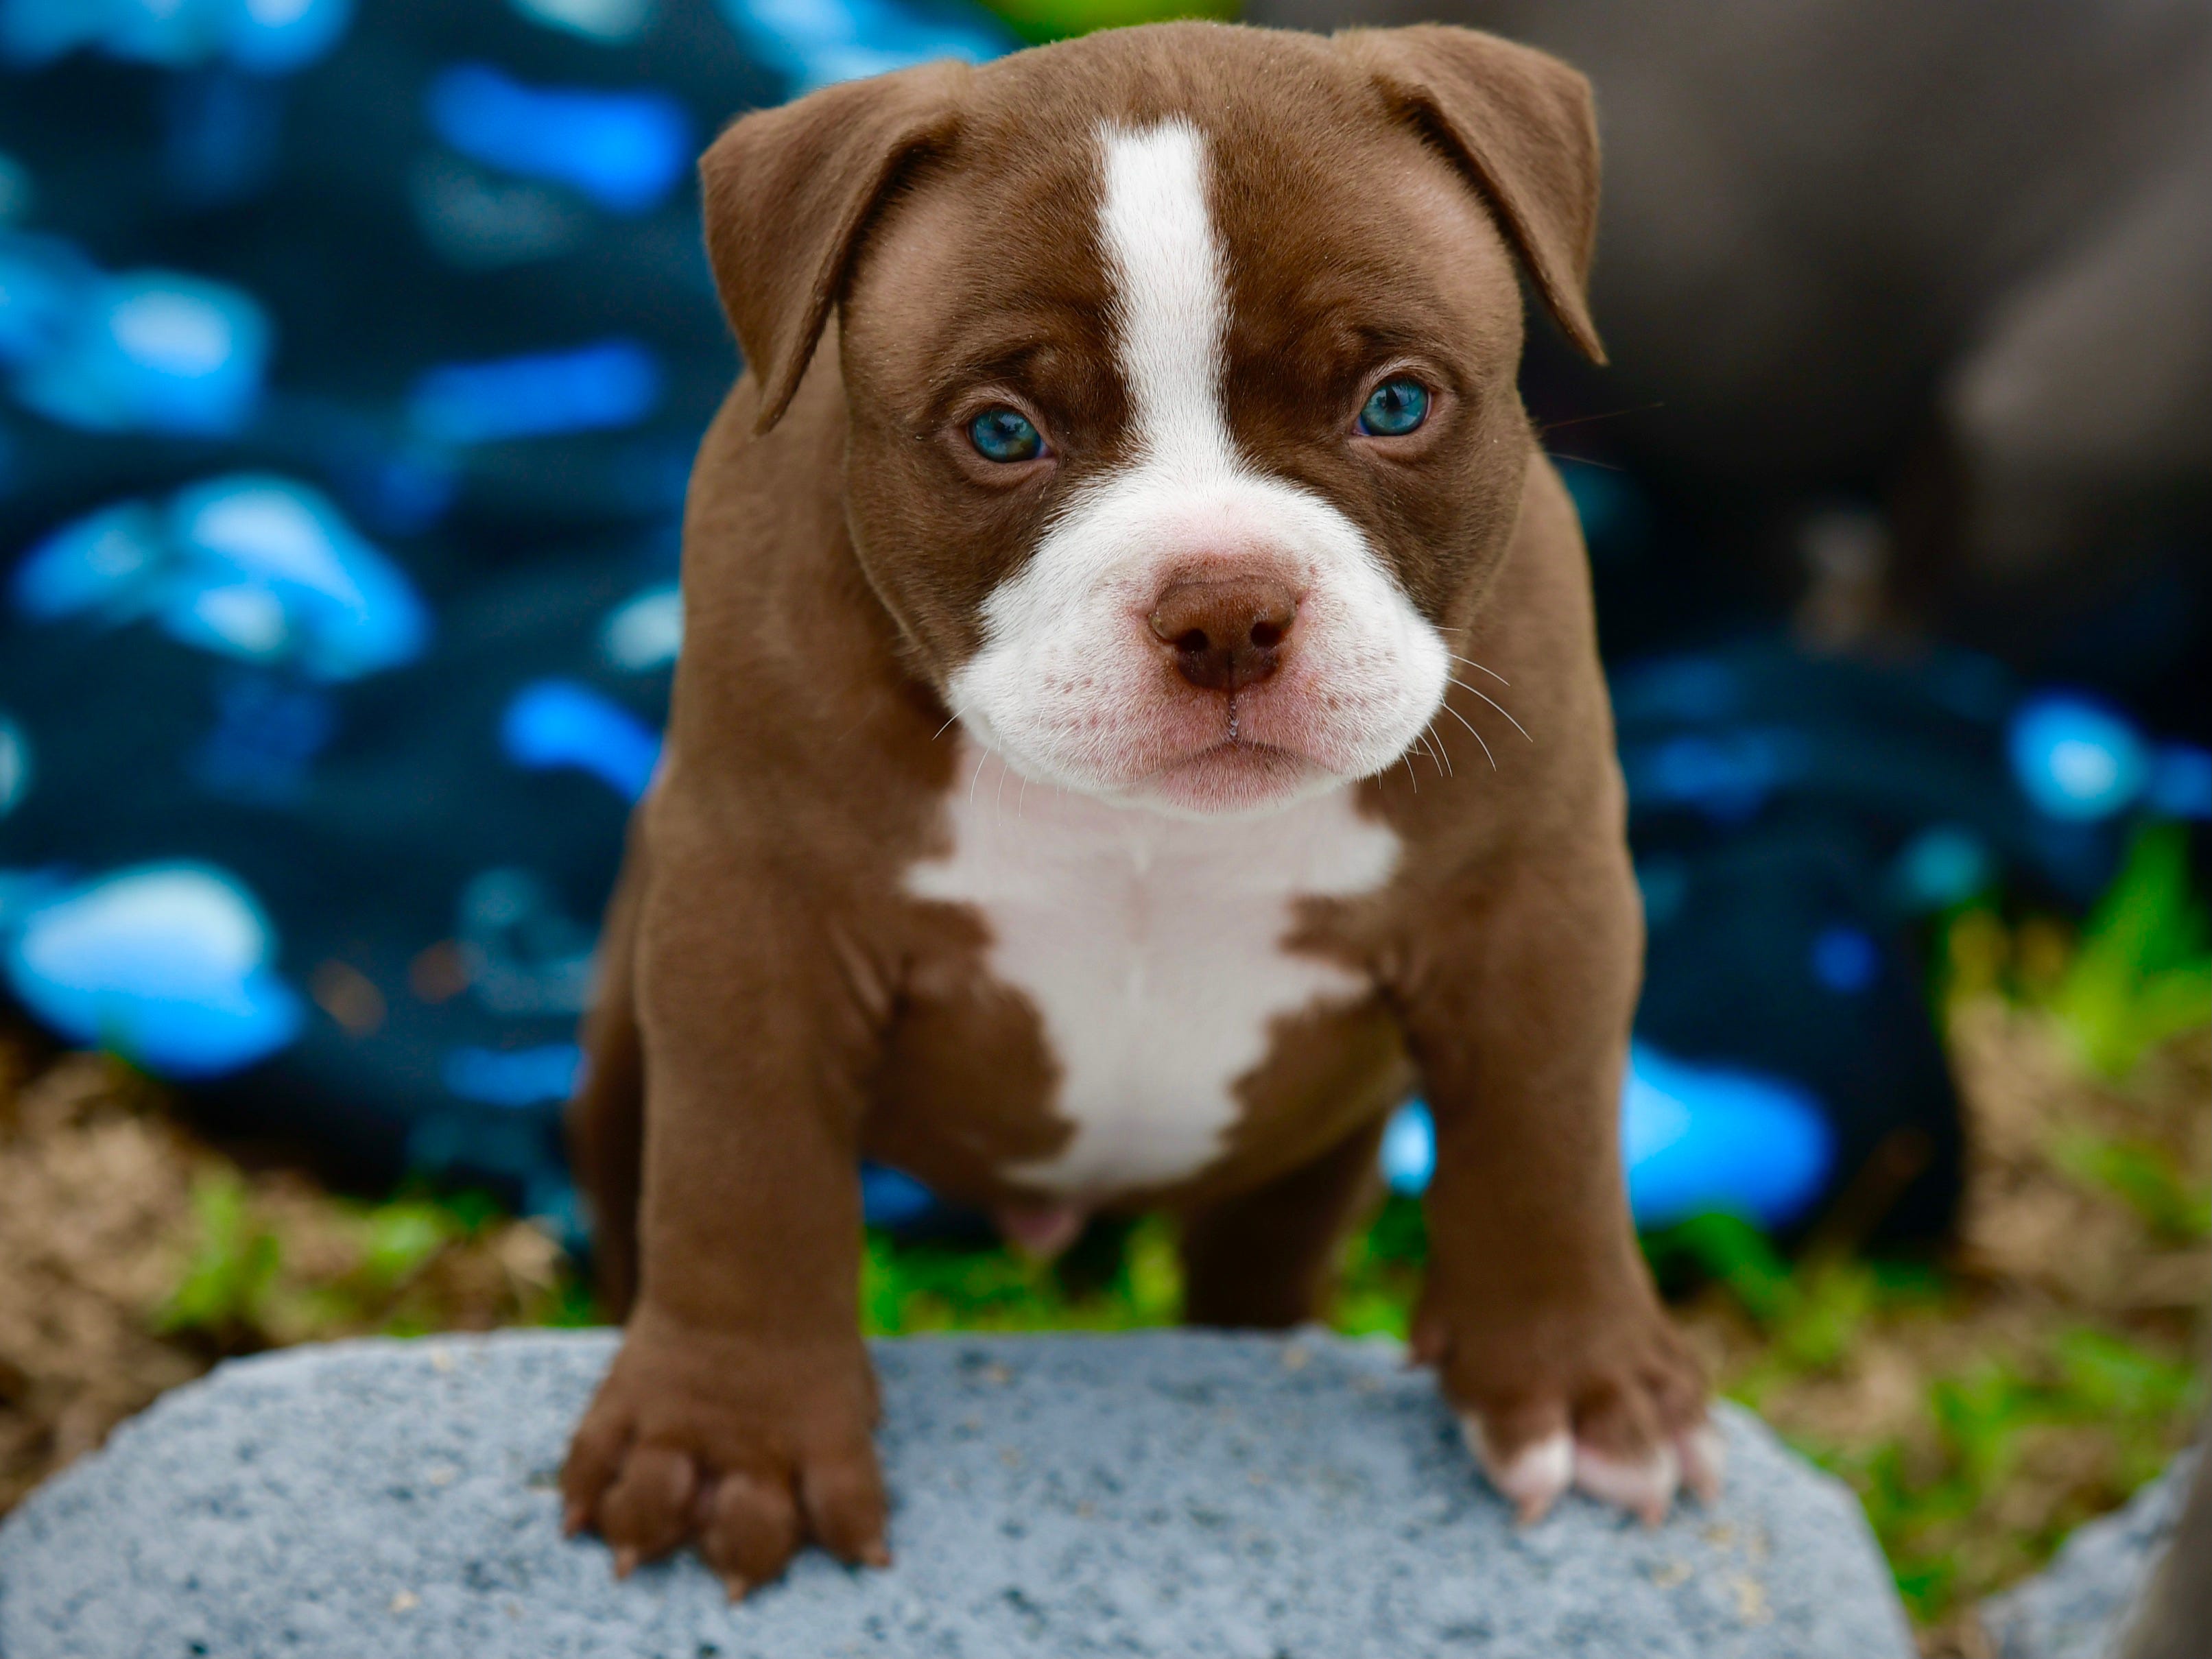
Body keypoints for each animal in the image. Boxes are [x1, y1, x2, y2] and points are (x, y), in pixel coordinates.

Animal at [562, 16, 1716, 1601]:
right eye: (1001, 432)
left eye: (1395, 403)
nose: (1225, 609)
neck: (1147, 831)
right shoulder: (755, 920)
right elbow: (745, 1170)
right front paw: (724, 1441)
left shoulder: (1535, 900)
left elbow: (1546, 1134)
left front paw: (1586, 1391)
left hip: (1302, 1176)